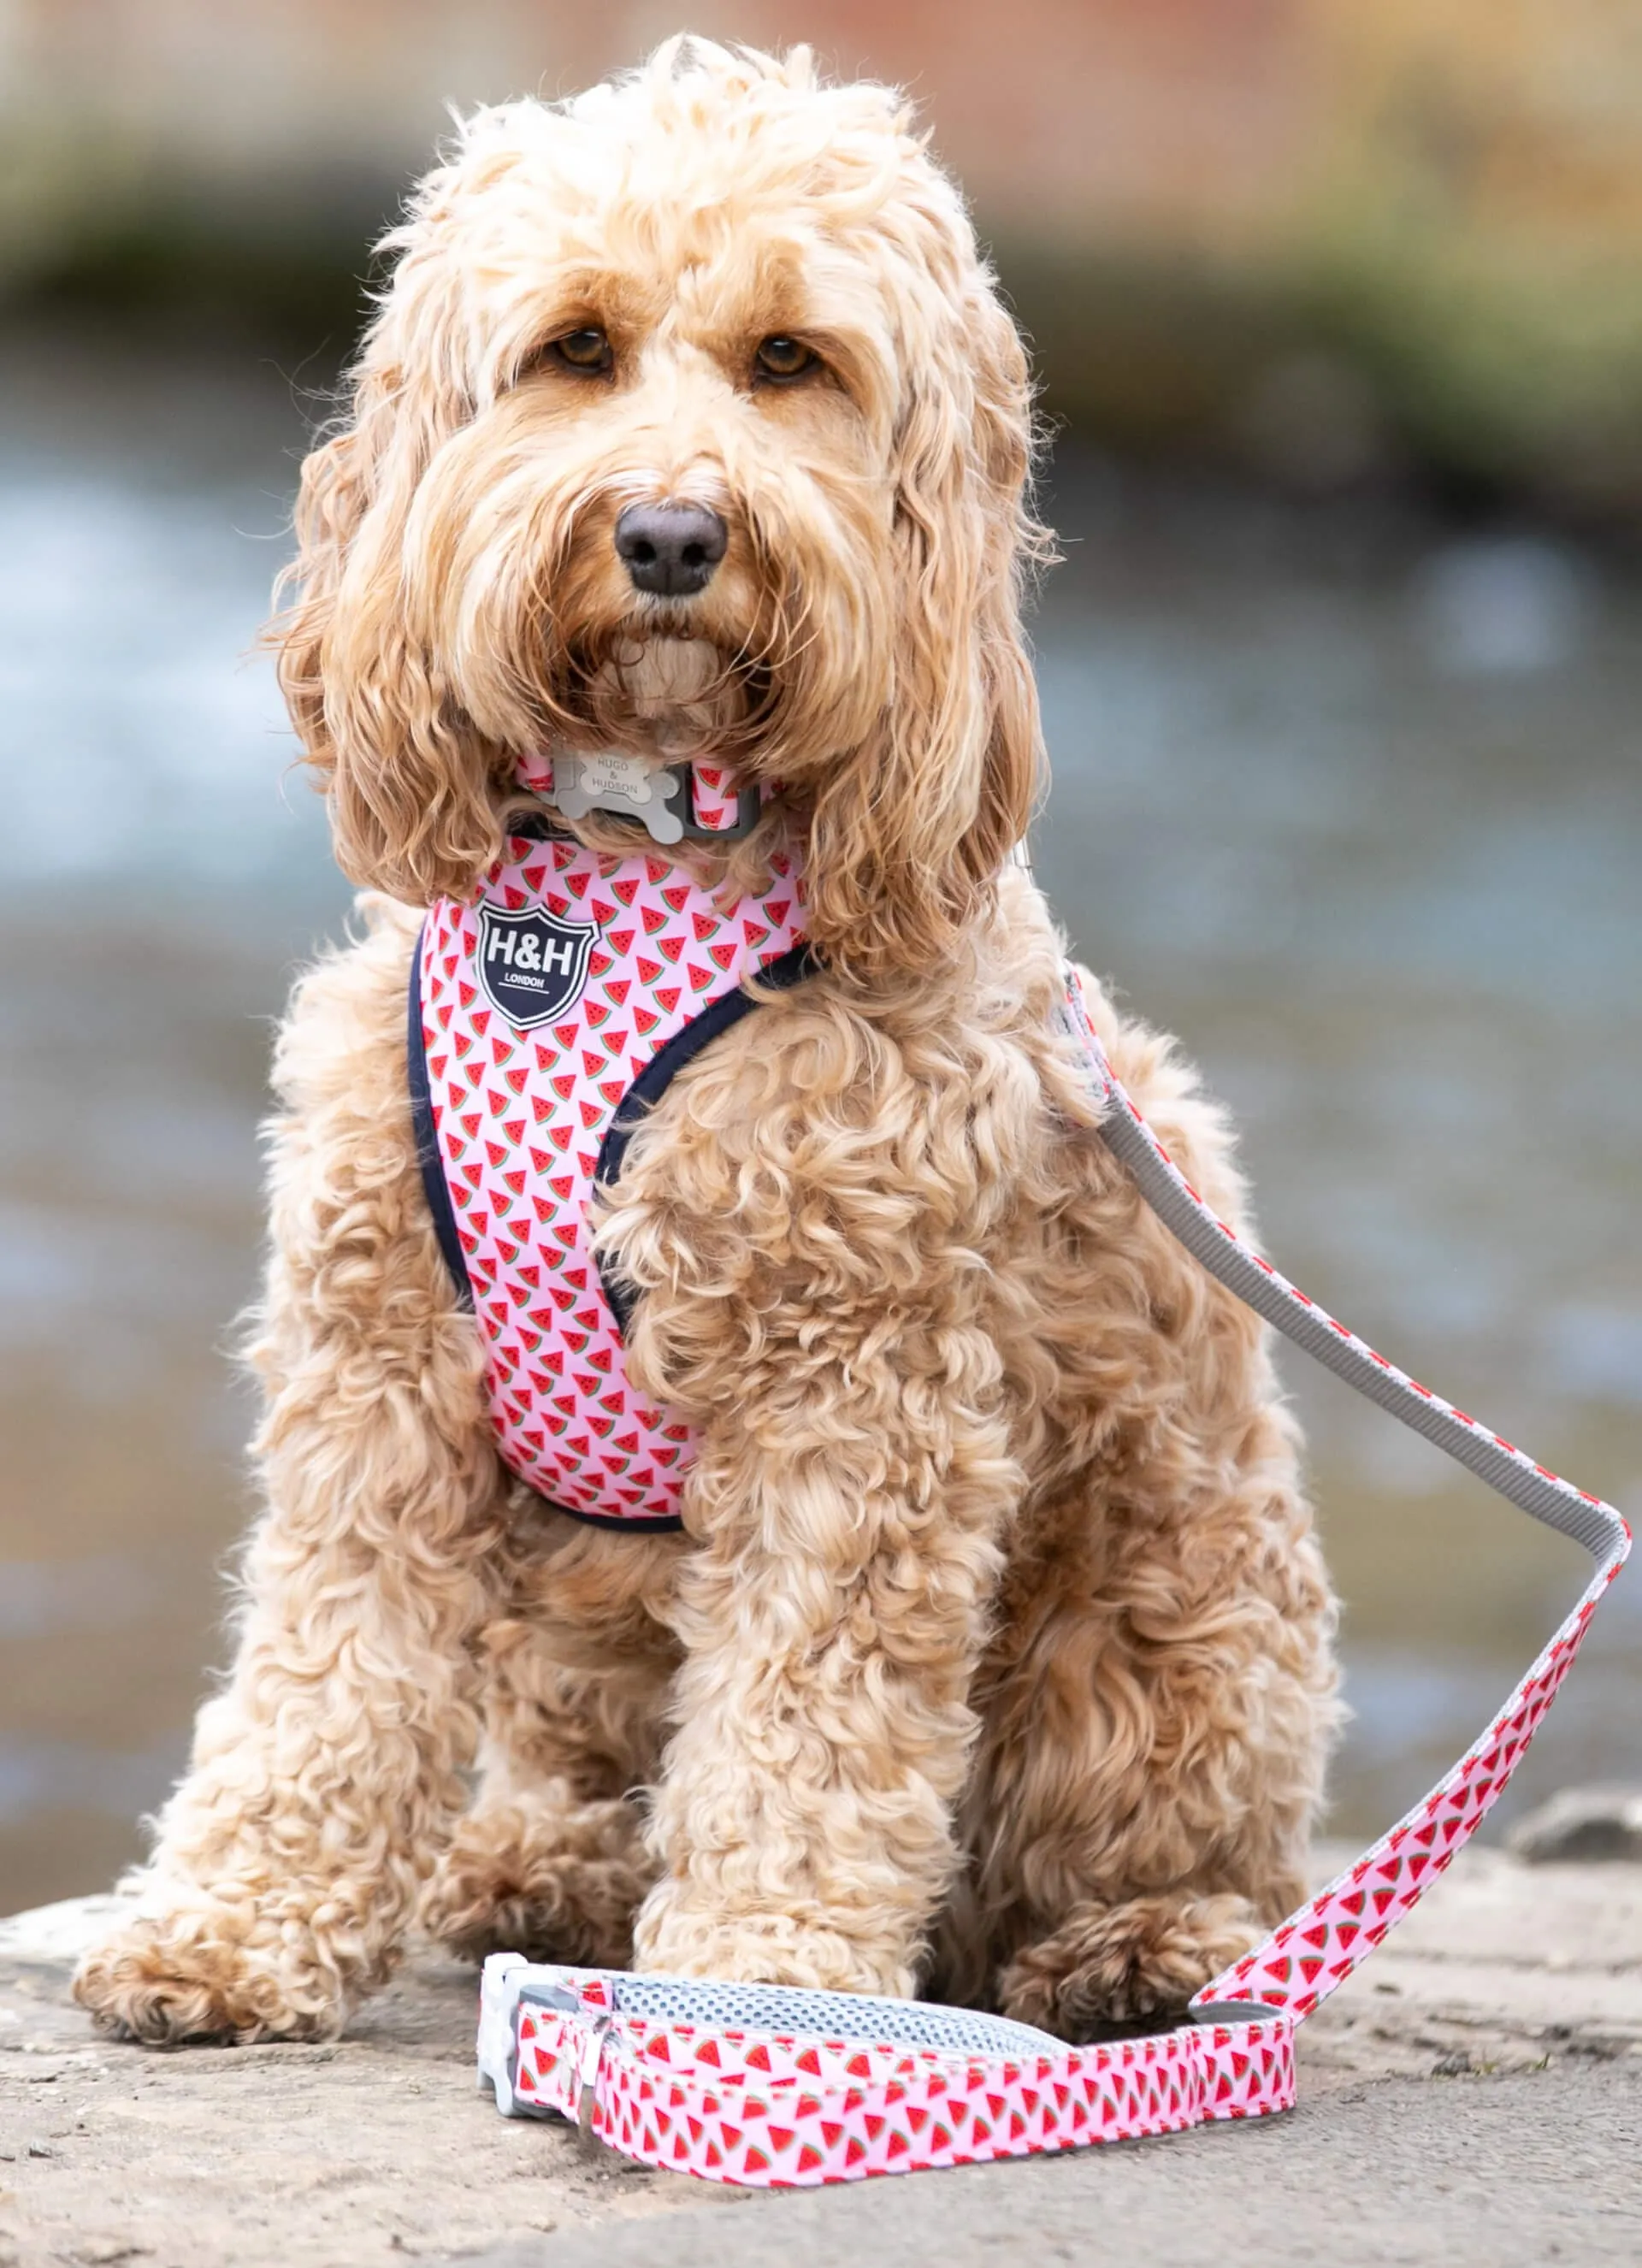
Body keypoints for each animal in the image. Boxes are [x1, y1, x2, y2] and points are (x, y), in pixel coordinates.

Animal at [70, 39, 1342, 2059]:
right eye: (576, 350)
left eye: (790, 362)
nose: (671, 534)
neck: (621, 874)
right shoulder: (379, 1363)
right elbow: (328, 1671)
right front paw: (235, 1923)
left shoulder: (859, 1391)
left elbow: (806, 1723)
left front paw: (765, 1976)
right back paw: (543, 1866)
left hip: (1163, 1599)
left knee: (1160, 1847)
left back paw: (1136, 1946)